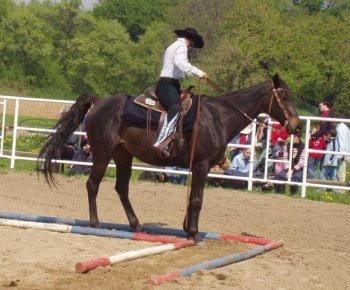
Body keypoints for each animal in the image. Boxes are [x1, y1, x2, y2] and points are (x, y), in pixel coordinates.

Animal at [37, 73, 300, 241]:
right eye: (283, 94)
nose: (297, 126)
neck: (218, 117)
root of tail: (99, 102)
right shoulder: (202, 164)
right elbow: (197, 200)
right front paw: (194, 233)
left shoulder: (198, 166)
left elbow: (192, 198)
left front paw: (188, 230)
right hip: (102, 154)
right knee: (93, 184)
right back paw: (95, 223)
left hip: (123, 156)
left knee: (121, 188)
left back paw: (136, 224)